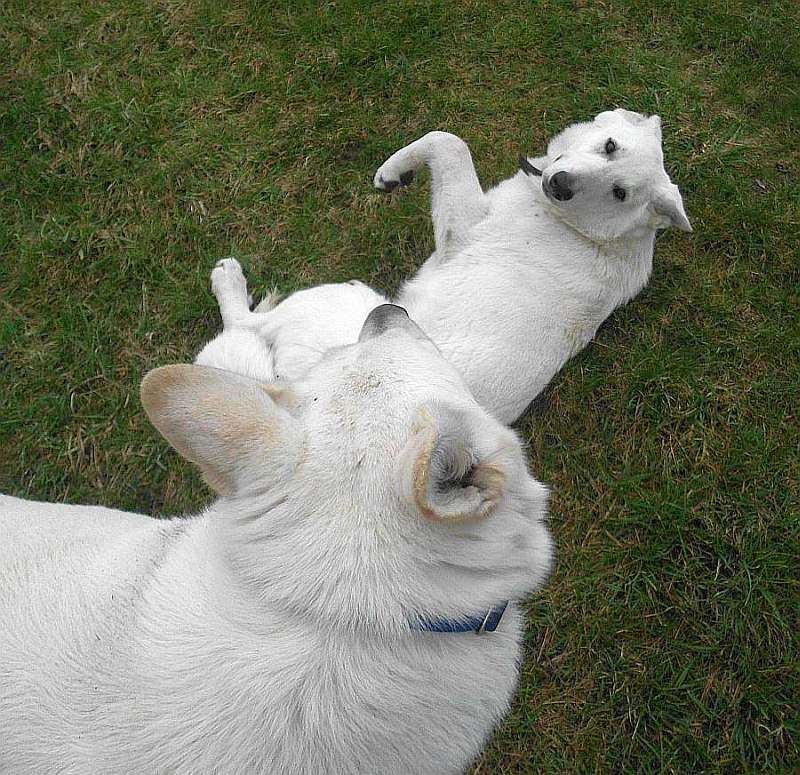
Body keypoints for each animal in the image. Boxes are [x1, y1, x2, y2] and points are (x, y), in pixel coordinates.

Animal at [198, 108, 688, 422]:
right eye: (610, 146)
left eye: (620, 193)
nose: (561, 184)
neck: (587, 230)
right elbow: (448, 139)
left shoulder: (462, 227)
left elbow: (448, 140)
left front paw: (393, 168)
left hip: (336, 297)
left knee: (245, 325)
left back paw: (229, 281)